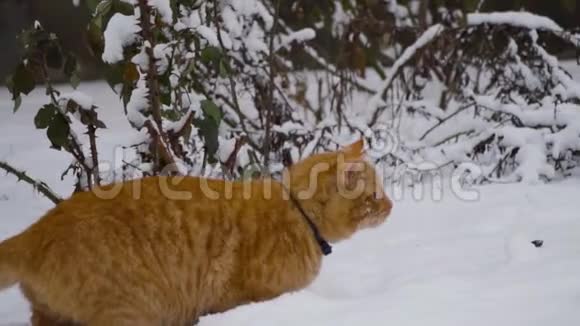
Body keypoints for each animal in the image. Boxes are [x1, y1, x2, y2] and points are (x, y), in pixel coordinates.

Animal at [0, 139, 394, 324]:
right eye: (374, 196)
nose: (391, 206)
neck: (297, 213)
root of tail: (37, 231)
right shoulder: (243, 300)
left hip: (53, 317)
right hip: (130, 313)